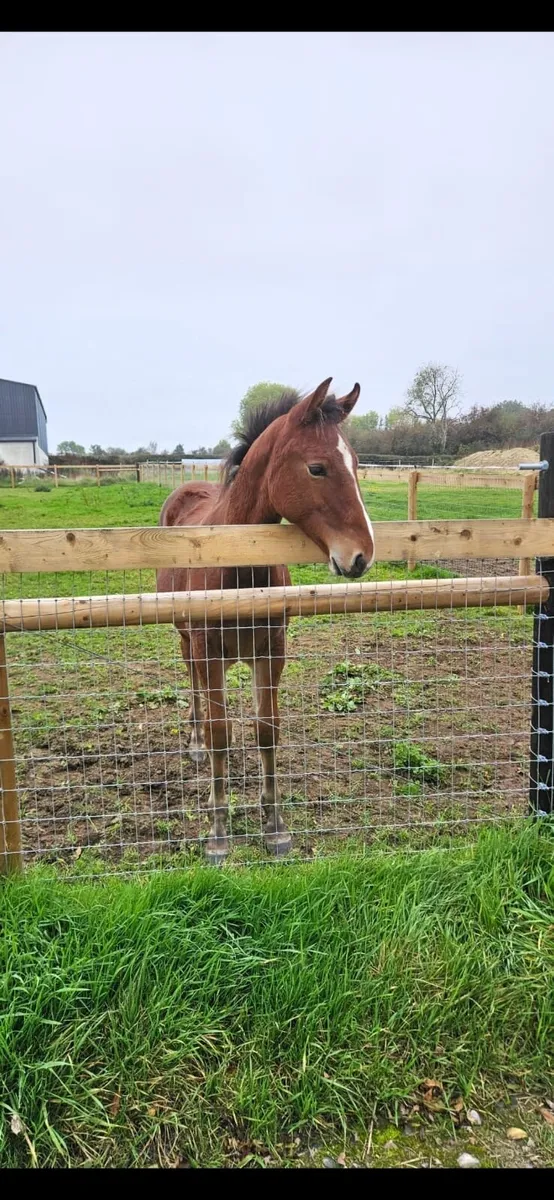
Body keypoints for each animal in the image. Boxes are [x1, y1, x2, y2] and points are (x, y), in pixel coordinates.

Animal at [157, 377, 376, 864]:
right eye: (317, 468)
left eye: (356, 464)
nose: (361, 557)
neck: (238, 565)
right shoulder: (209, 651)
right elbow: (221, 732)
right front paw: (218, 833)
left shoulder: (271, 652)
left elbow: (267, 730)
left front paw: (274, 825)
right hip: (185, 640)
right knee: (194, 685)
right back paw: (196, 745)